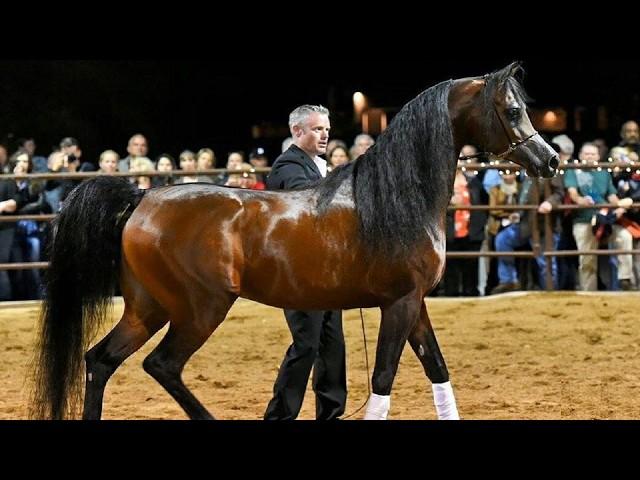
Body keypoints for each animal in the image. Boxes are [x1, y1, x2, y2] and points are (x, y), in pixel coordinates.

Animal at [31, 62, 560, 418]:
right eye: (512, 109)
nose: (550, 160)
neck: (395, 198)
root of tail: (142, 199)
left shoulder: (417, 303)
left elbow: (437, 368)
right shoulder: (400, 303)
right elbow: (384, 376)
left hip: (147, 308)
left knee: (100, 360)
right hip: (199, 309)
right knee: (161, 365)